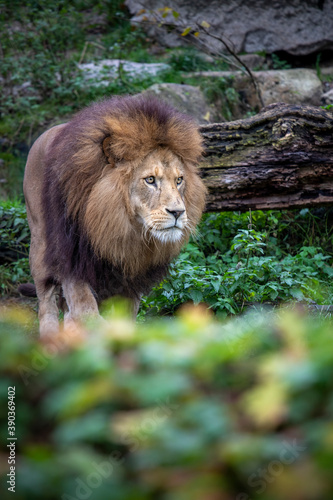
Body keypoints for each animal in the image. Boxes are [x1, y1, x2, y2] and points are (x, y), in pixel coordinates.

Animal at [19, 94, 206, 336]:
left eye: (179, 180)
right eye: (150, 180)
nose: (178, 212)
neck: (122, 228)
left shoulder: (131, 277)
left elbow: (123, 319)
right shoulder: (72, 258)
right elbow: (87, 312)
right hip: (40, 247)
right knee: (46, 304)